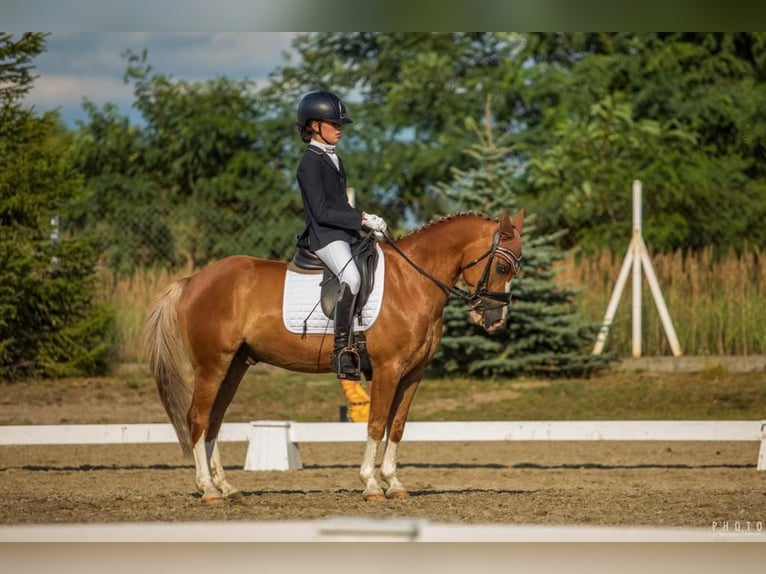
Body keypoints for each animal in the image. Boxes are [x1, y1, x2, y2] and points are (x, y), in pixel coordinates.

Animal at [145, 208, 524, 503]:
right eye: (502, 269)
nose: (495, 319)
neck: (412, 281)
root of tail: (194, 279)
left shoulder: (413, 373)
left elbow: (397, 426)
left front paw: (394, 483)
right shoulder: (388, 369)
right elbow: (376, 423)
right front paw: (371, 484)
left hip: (234, 366)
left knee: (213, 420)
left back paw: (226, 487)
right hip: (212, 365)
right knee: (197, 417)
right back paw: (208, 490)